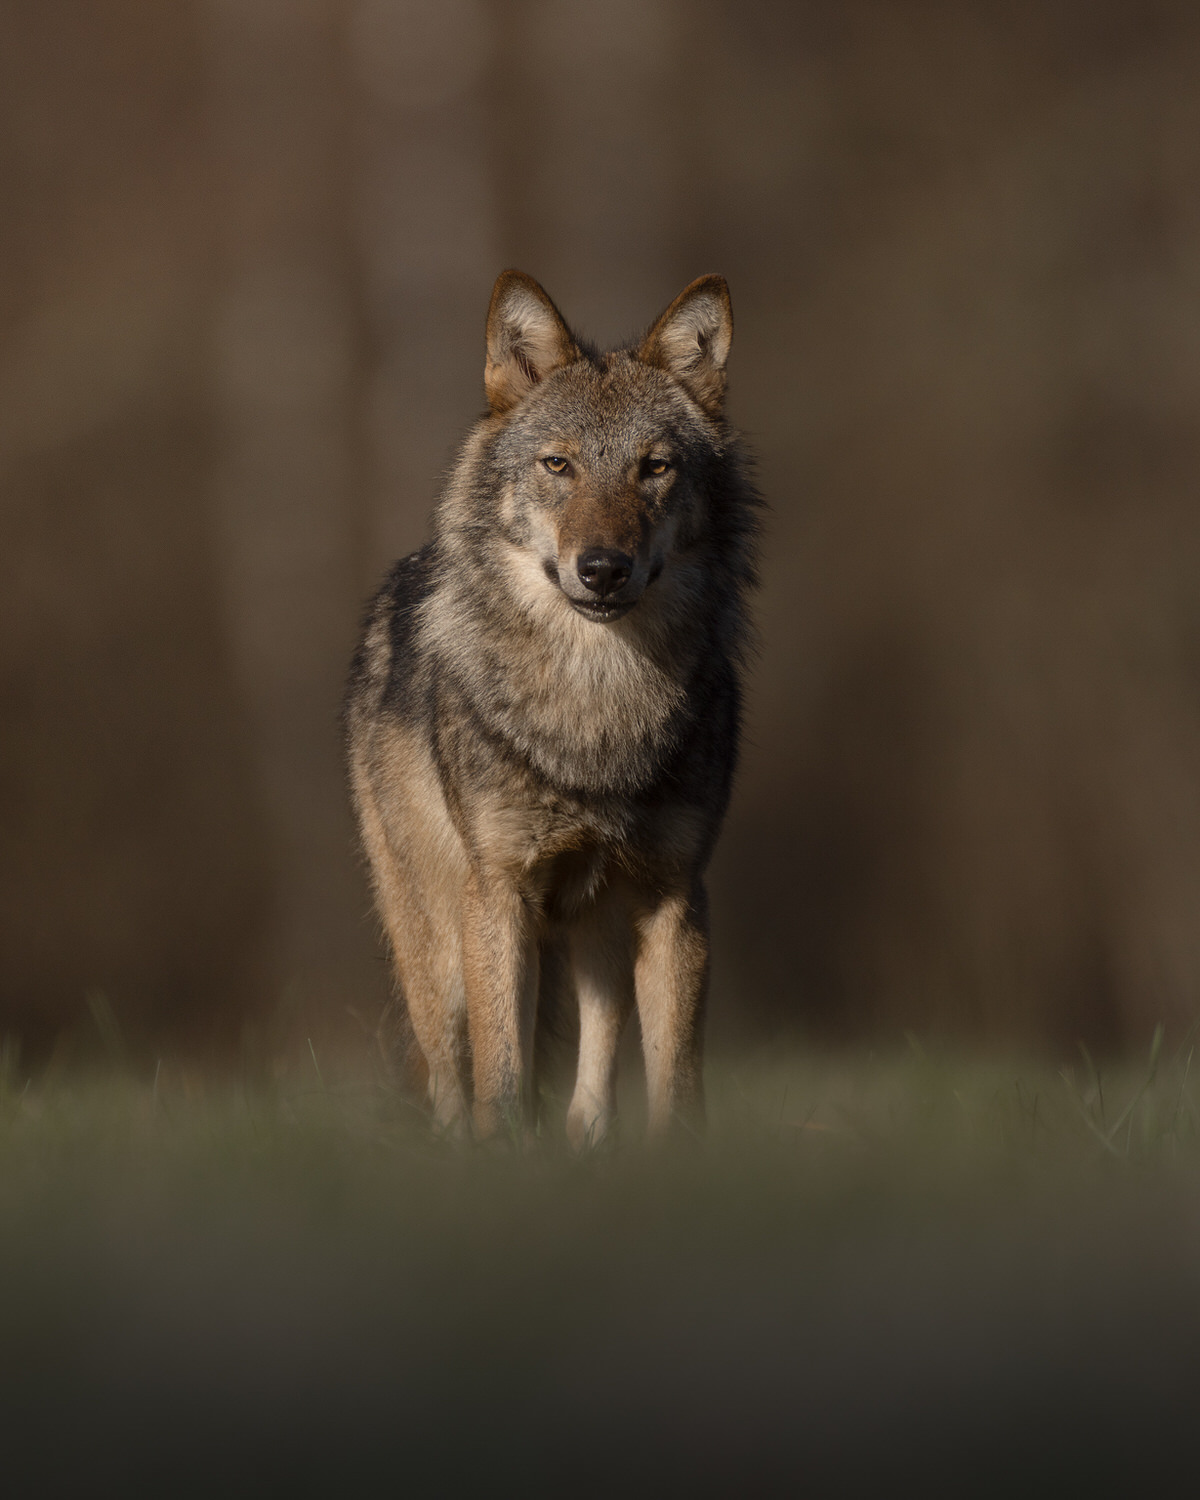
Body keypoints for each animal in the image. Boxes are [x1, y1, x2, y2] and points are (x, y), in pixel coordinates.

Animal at [345, 270, 758, 1144]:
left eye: (654, 467)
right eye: (559, 464)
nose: (601, 568)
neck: (595, 705)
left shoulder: (677, 897)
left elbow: (677, 1076)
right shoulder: (498, 894)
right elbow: (501, 1076)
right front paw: (502, 1154)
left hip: (599, 931)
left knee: (591, 1076)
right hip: (439, 948)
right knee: (451, 1074)